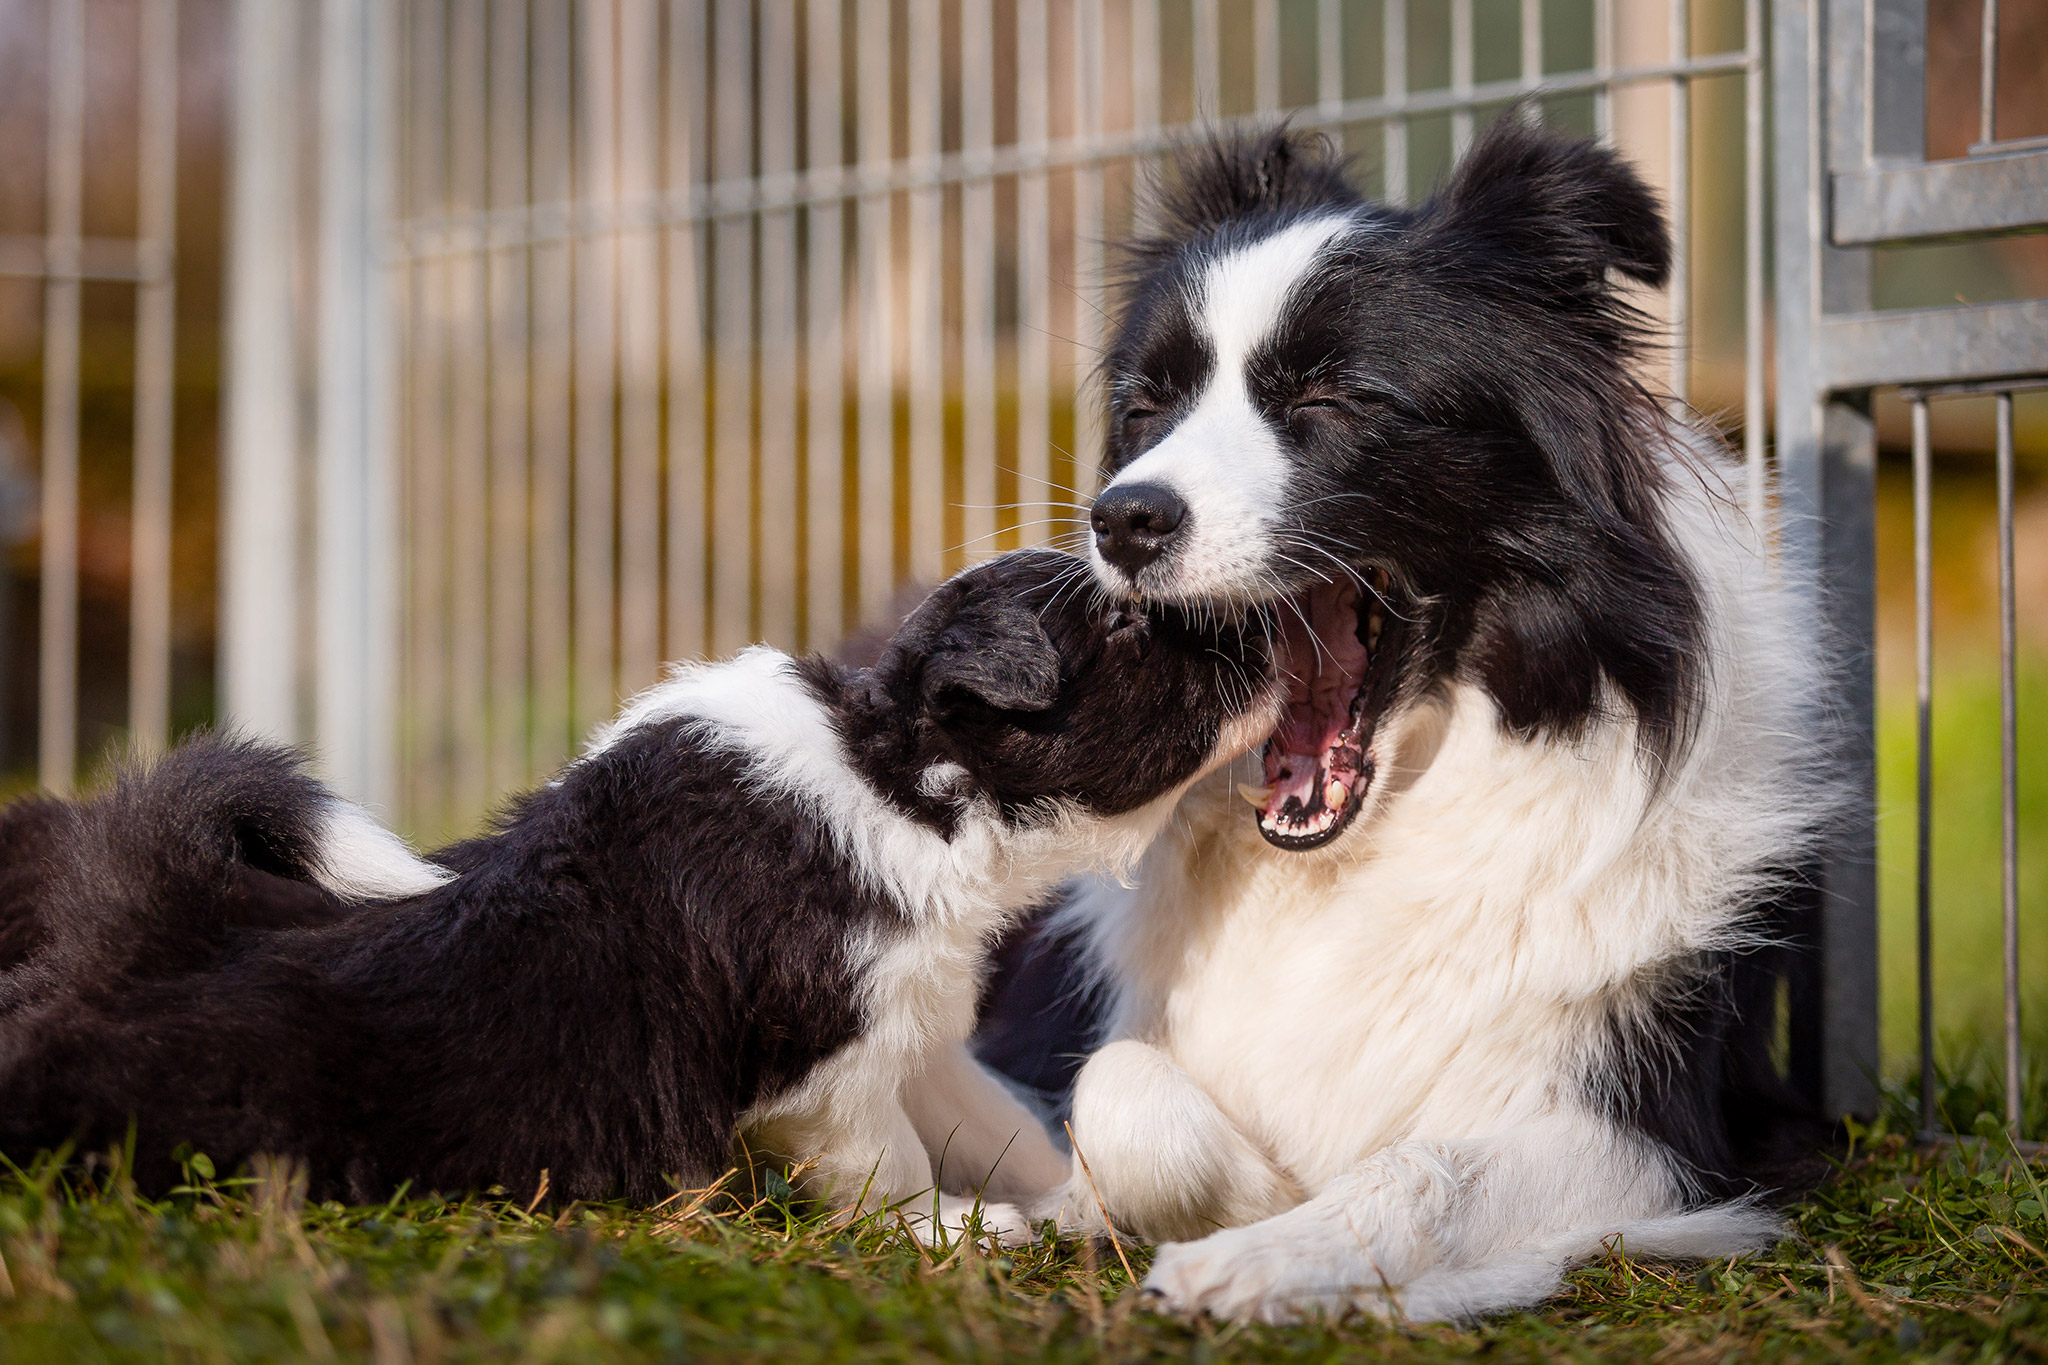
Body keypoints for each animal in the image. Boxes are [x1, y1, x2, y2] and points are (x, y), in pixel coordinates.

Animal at [0, 548, 1269, 1236]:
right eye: (1125, 626)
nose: (1275, 632)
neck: (900, 782)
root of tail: (121, 926)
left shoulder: (907, 1028)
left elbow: (1000, 1124)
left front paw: (1071, 1209)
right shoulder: (827, 1072)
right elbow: (891, 1170)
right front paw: (953, 1236)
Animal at [999, 120, 1835, 1326]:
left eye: (1334, 398)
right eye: (1147, 405)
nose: (1122, 520)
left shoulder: (1659, 1130)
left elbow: (1422, 1166)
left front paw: (1258, 1255)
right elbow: (1115, 1089)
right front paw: (1245, 1194)